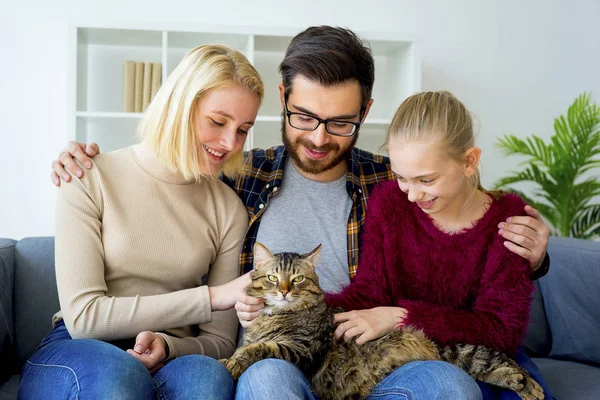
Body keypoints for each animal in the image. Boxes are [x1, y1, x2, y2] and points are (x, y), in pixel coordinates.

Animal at [221, 242, 544, 398]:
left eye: (298, 279)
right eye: (273, 278)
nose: (285, 291)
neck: (276, 317)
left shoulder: (302, 349)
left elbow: (259, 348)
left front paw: (233, 361)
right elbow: (250, 344)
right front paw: (231, 357)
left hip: (460, 351)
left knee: (502, 360)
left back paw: (529, 385)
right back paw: (521, 384)